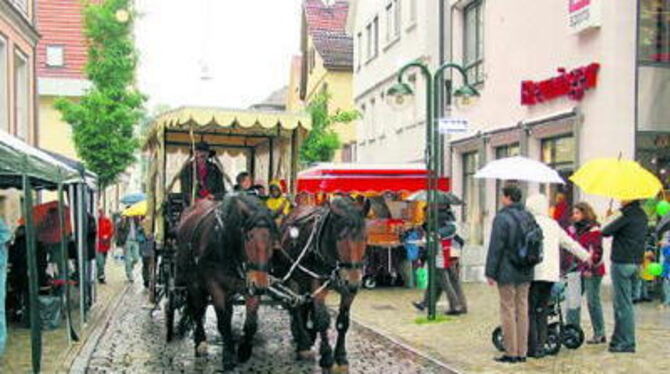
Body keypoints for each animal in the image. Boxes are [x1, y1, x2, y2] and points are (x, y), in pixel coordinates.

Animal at [176, 193, 278, 372]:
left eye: (272, 238)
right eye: (249, 237)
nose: (260, 284)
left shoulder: (249, 285)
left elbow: (251, 322)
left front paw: (244, 350)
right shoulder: (215, 285)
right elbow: (223, 321)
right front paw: (228, 356)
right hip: (193, 283)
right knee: (197, 309)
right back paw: (200, 341)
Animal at [272, 197, 368, 372]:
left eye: (364, 238)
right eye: (340, 238)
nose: (352, 282)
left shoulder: (348, 291)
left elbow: (343, 322)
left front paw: (341, 357)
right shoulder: (317, 284)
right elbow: (322, 319)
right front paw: (327, 358)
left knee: (304, 305)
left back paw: (306, 334)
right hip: (292, 277)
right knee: (295, 307)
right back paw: (303, 343)